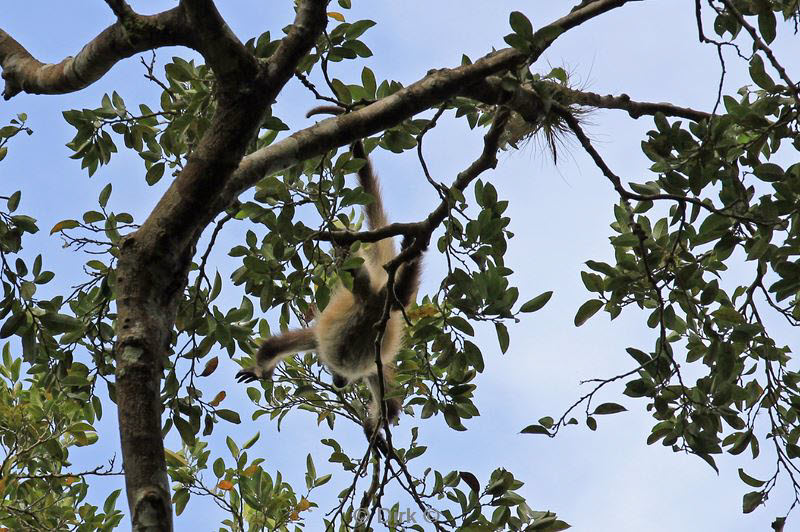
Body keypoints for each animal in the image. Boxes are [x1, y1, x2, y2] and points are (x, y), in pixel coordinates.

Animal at [236, 107, 424, 454]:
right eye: (331, 372)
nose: (338, 382)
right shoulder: (343, 354)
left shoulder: (347, 355)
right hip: (374, 302)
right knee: (398, 295)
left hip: (366, 292)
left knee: (378, 283)